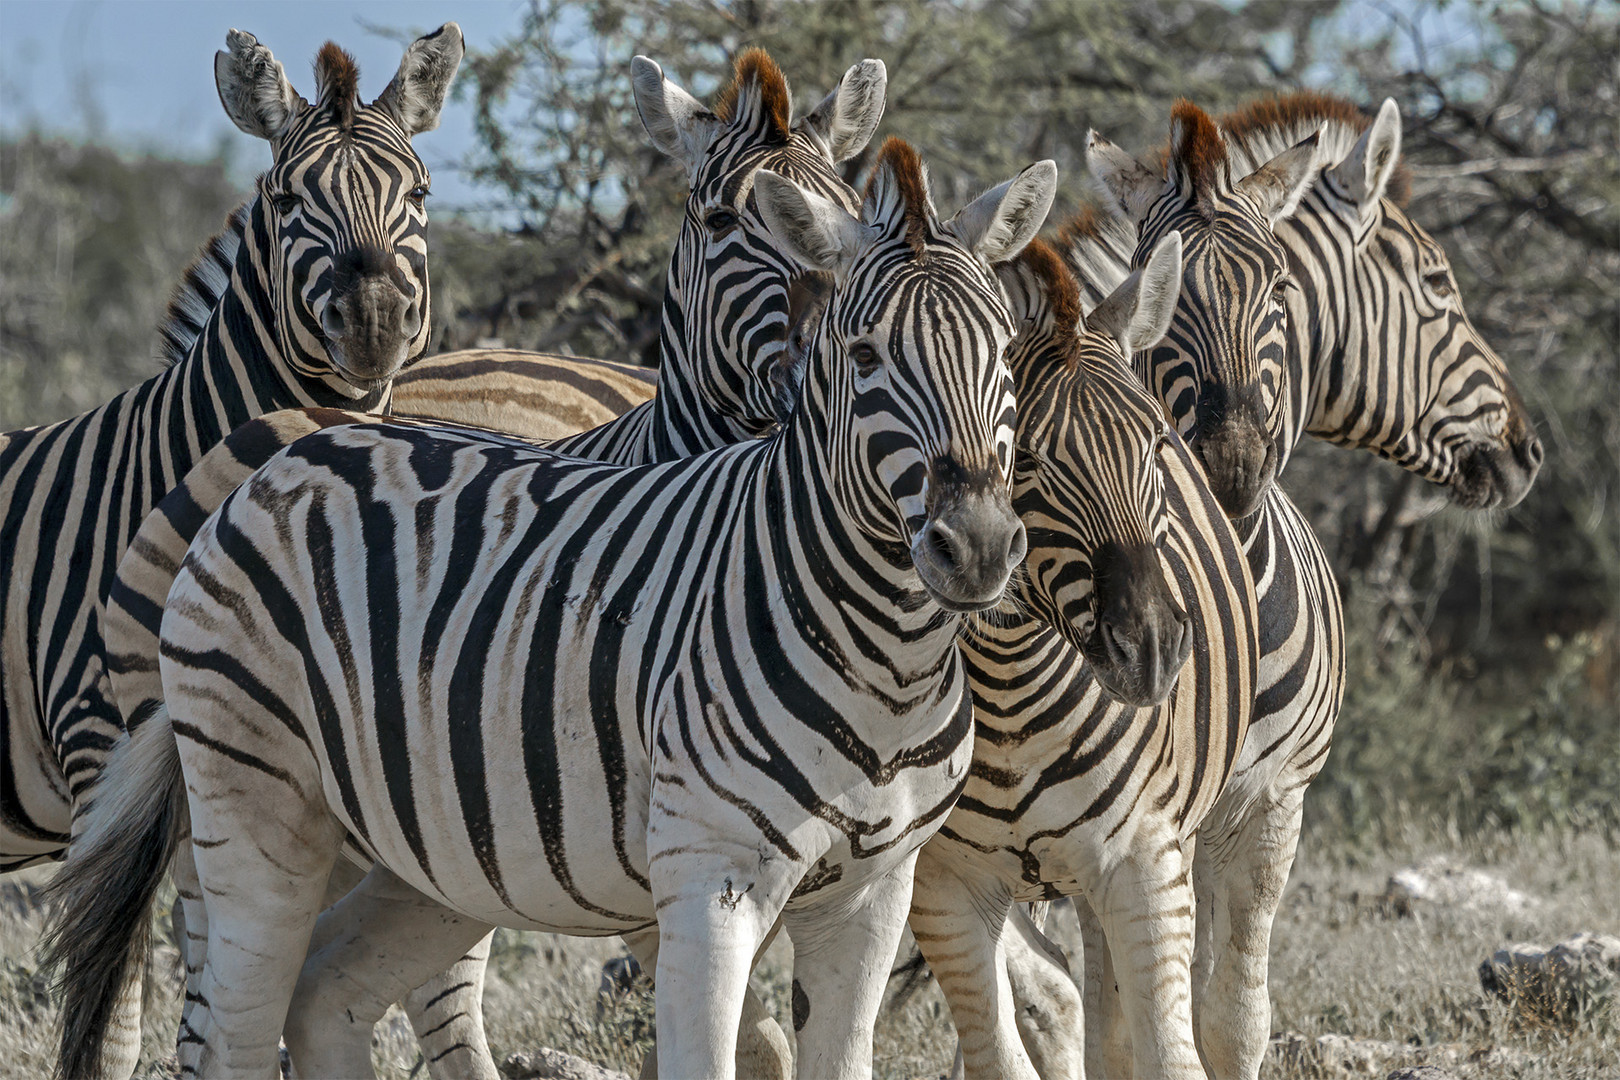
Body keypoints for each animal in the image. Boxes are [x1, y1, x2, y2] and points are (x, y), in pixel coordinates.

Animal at [47, 143, 1049, 1080]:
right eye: (866, 355)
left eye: (1007, 355)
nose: (979, 546)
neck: (886, 662)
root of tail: (276, 462)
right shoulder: (712, 875)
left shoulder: (873, 893)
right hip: (256, 803)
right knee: (238, 1032)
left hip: (436, 859)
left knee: (325, 990)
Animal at [1062, 95, 1542, 1080]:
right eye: (1440, 283)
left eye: (1279, 289)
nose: (1232, 467)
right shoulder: (1128, 819)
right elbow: (1119, 1027)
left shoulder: (1270, 805)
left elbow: (1231, 1020)